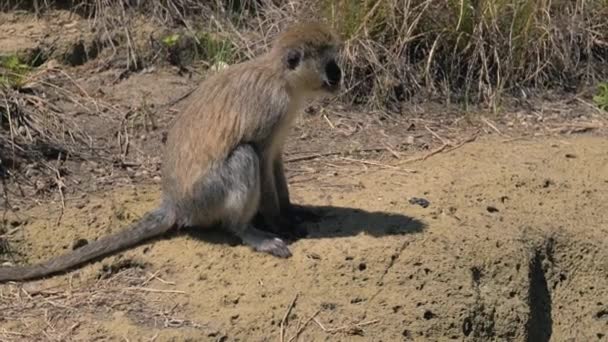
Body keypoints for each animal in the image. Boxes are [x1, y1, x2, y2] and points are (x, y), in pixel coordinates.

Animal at [0, 22, 342, 284]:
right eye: (329, 63)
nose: (339, 76)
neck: (283, 80)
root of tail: (176, 205)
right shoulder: (272, 110)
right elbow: (260, 157)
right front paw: (280, 223)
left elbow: (276, 163)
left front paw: (293, 211)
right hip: (206, 197)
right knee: (245, 157)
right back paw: (247, 231)